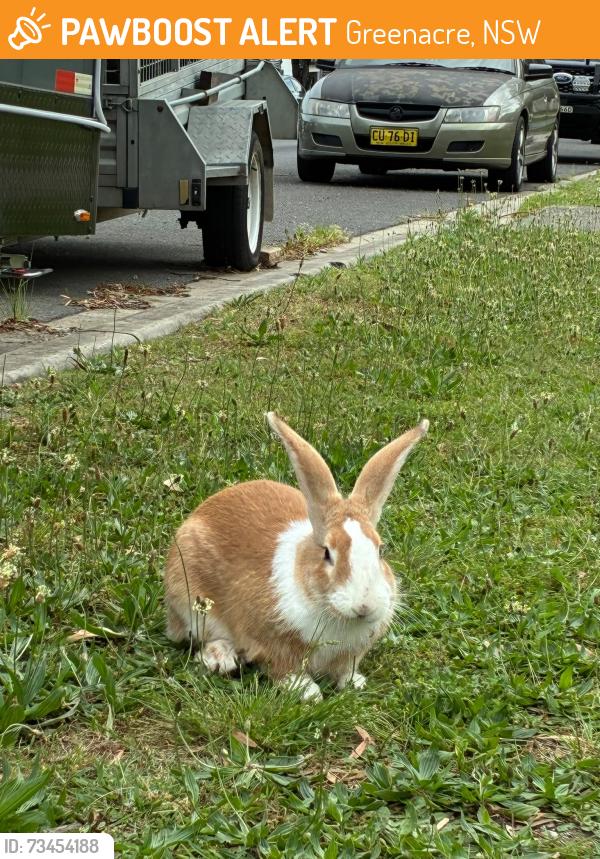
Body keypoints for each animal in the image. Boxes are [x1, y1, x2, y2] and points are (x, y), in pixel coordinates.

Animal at [164, 412, 429, 701]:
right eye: (327, 552)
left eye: (380, 550)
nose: (364, 605)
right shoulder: (271, 645)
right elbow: (285, 670)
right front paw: (309, 694)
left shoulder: (352, 654)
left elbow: (346, 669)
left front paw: (354, 683)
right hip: (191, 602)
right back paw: (220, 658)